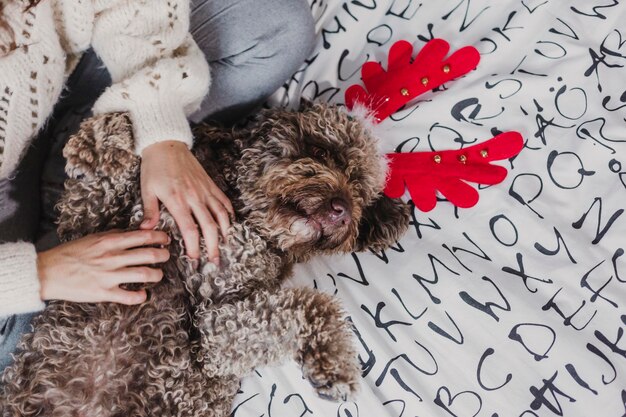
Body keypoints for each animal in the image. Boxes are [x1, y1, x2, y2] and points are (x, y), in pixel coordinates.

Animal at [0, 101, 410, 416]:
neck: (243, 213)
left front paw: (335, 364)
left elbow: (312, 306)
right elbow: (114, 152)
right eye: (325, 152)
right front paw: (99, 140)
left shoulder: (215, 332)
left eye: (359, 192)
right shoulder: (87, 228)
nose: (343, 210)